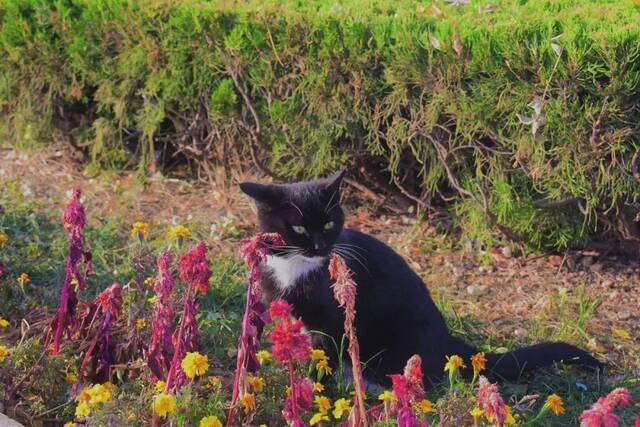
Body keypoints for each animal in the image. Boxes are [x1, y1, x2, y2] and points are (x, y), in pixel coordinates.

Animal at [239, 171, 600, 388]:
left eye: (329, 224)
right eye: (299, 228)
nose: (320, 247)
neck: (297, 266)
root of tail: (448, 342)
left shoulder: (331, 319)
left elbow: (324, 353)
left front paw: (316, 386)